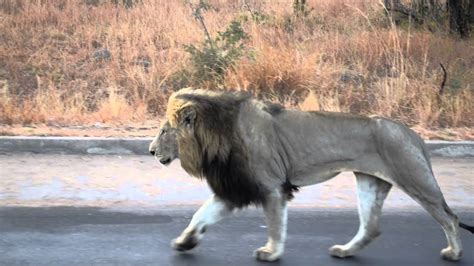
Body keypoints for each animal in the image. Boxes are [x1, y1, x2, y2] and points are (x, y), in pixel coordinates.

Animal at [149, 88, 474, 262]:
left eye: (164, 131)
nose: (151, 151)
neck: (216, 136)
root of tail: (412, 133)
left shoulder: (271, 186)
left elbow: (275, 225)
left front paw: (271, 253)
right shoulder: (234, 188)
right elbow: (200, 216)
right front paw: (184, 243)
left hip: (414, 177)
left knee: (450, 217)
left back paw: (454, 253)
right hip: (370, 182)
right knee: (370, 227)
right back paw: (345, 251)